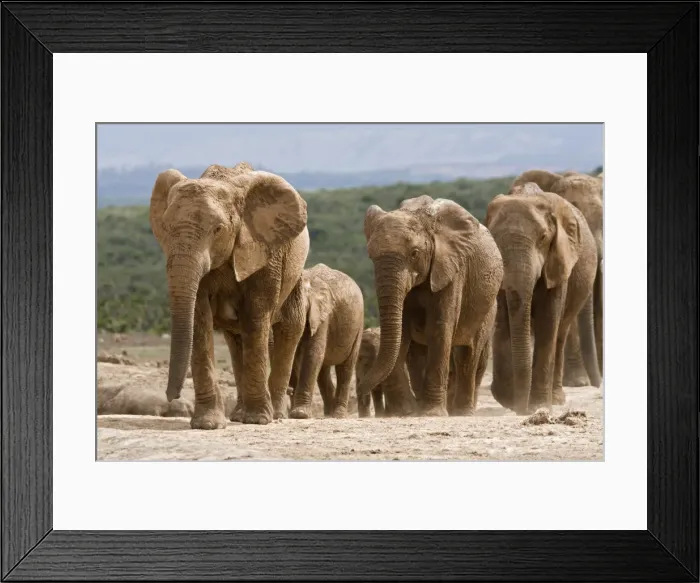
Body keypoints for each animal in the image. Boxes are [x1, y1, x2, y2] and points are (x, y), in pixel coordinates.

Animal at [149, 161, 309, 429]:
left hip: (296, 274)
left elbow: (256, 316)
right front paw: (207, 424)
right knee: (236, 340)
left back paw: (275, 415)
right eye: (166, 228)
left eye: (218, 229)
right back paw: (238, 416)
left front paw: (257, 421)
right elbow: (199, 318)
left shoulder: (265, 252)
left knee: (288, 330)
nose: (172, 397)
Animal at [284, 263, 365, 419]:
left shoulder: (322, 316)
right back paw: (328, 414)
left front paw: (300, 414)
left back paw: (338, 415)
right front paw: (294, 413)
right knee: (323, 371)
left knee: (345, 368)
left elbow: (313, 354)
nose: (289, 390)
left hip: (358, 326)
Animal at [356, 195, 503, 417]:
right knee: (419, 353)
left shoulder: (451, 269)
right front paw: (406, 412)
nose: (362, 388)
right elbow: (403, 333)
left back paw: (461, 412)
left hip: (487, 308)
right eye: (371, 256)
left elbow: (439, 329)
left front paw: (431, 413)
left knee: (468, 354)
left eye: (414, 253)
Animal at [485, 185, 600, 414]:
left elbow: (548, 321)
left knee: (560, 333)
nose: (521, 409)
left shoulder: (559, 259)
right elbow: (503, 321)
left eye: (543, 238)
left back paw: (555, 399)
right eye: (494, 239)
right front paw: (509, 400)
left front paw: (537, 406)